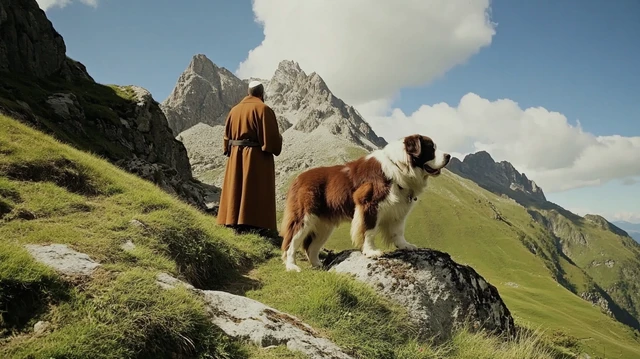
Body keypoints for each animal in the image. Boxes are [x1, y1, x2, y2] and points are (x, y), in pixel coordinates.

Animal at [278, 135, 450, 272]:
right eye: (431, 148)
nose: (448, 155)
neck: (399, 167)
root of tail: (299, 178)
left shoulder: (399, 208)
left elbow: (398, 230)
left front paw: (405, 245)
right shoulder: (370, 204)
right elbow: (369, 230)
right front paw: (371, 251)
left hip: (324, 225)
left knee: (311, 247)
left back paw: (318, 266)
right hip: (304, 217)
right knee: (291, 243)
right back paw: (292, 266)